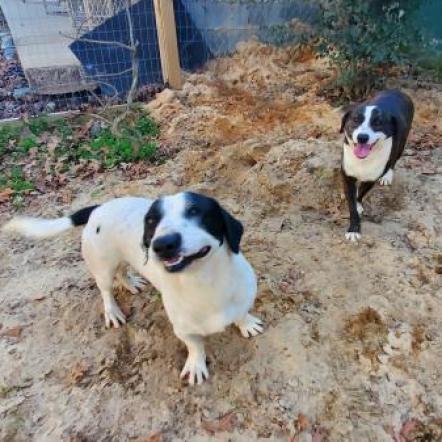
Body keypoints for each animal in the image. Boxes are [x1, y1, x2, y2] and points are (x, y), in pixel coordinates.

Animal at [3, 192, 262, 386]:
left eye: (194, 211)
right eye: (151, 221)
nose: (162, 244)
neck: (204, 282)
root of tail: (98, 208)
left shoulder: (243, 299)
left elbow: (241, 314)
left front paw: (247, 324)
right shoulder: (183, 330)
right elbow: (195, 346)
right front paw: (196, 364)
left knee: (122, 271)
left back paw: (130, 282)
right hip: (103, 268)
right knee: (106, 289)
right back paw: (112, 311)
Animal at [338, 90, 414, 242]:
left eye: (378, 123)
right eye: (355, 120)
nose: (362, 137)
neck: (364, 160)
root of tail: (399, 91)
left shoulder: (371, 179)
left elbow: (361, 192)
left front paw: (358, 205)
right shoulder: (347, 176)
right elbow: (352, 203)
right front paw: (354, 226)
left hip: (401, 142)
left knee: (394, 159)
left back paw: (388, 176)